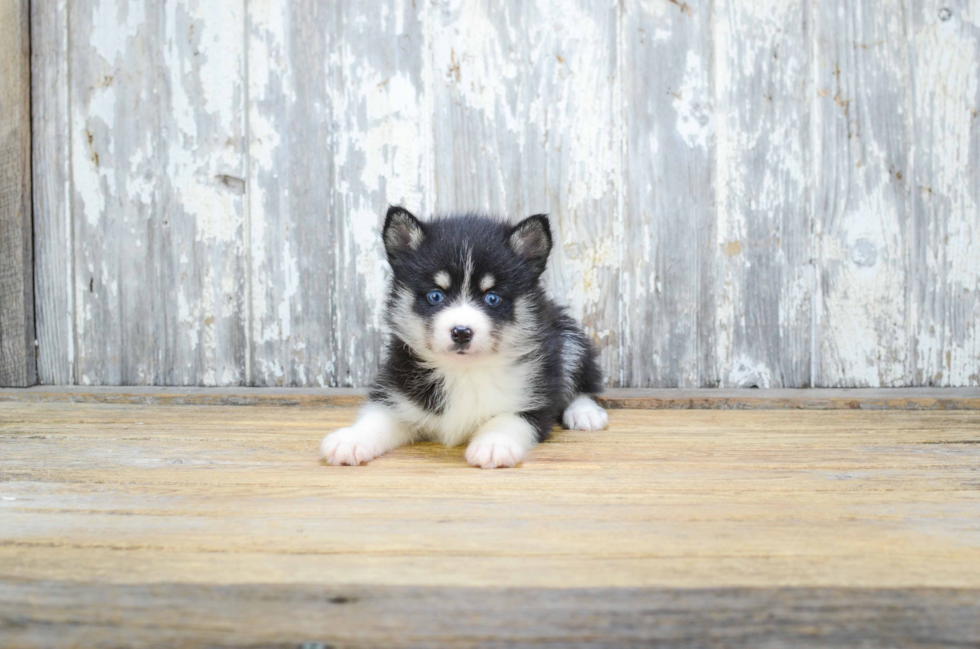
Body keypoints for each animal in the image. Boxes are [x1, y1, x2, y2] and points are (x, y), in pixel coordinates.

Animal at [320, 206, 604, 466]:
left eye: (492, 298)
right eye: (436, 295)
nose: (461, 332)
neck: (463, 370)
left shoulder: (534, 400)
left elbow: (508, 419)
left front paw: (494, 444)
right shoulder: (398, 393)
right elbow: (376, 418)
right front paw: (351, 440)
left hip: (568, 338)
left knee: (583, 380)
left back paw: (585, 412)